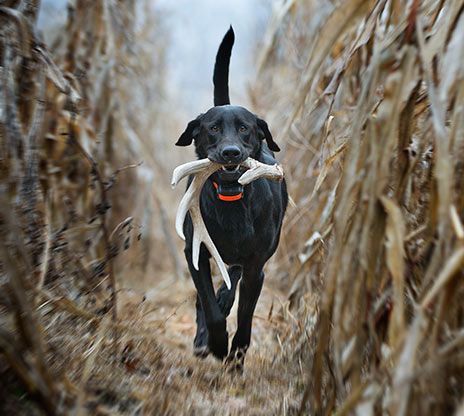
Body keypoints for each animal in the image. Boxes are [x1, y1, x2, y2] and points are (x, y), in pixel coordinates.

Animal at [176, 26, 288, 366]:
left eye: (245, 129)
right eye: (212, 128)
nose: (230, 153)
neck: (233, 205)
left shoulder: (256, 267)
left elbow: (246, 316)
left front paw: (236, 355)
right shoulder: (195, 253)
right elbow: (209, 306)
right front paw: (215, 343)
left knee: (231, 285)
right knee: (209, 299)